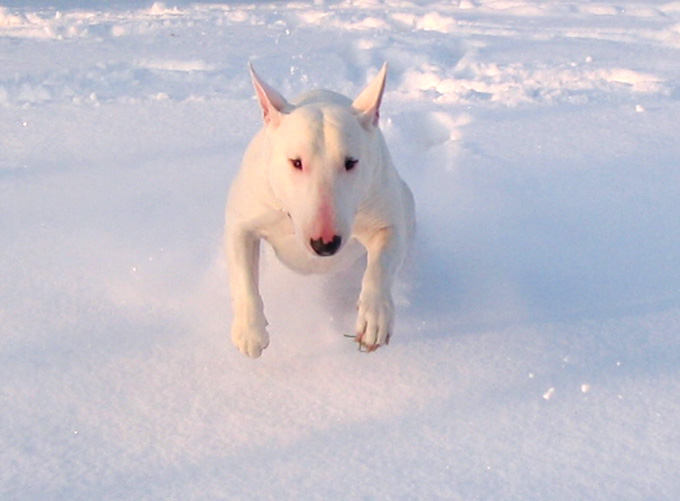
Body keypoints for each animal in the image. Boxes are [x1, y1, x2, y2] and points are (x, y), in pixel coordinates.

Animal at [226, 64, 414, 358]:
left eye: (351, 162)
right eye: (296, 162)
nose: (325, 244)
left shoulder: (387, 218)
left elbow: (381, 263)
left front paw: (374, 319)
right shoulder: (242, 218)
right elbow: (242, 273)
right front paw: (250, 332)